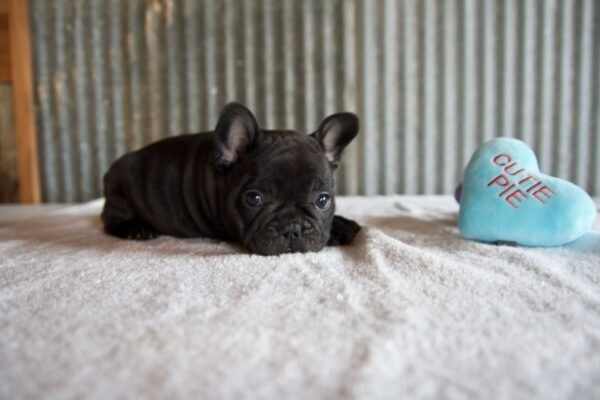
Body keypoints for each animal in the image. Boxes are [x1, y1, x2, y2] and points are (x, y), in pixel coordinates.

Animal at [102, 101, 360, 255]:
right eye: (253, 199)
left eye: (323, 200)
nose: (292, 228)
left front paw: (342, 225)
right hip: (119, 194)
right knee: (110, 218)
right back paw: (135, 228)